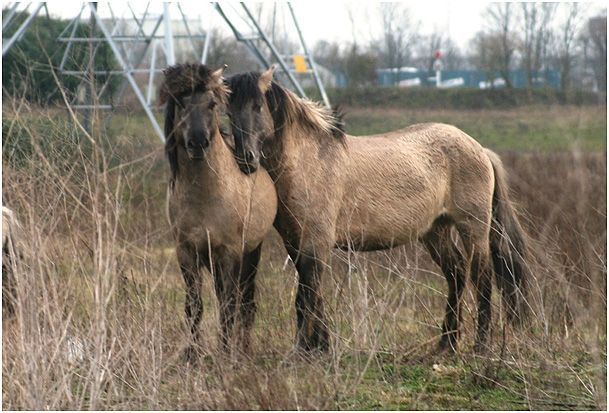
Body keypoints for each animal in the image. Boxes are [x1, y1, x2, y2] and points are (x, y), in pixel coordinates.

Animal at [160, 62, 276, 360]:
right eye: (180, 102)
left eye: (212, 104)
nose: (198, 142)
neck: (206, 196)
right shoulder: (187, 253)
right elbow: (194, 306)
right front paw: (192, 353)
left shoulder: (230, 253)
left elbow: (228, 306)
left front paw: (225, 353)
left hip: (250, 254)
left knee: (244, 302)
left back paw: (242, 348)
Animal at [223, 68, 528, 354]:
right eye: (228, 111)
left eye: (258, 106)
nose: (246, 159)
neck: (310, 162)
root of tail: (480, 150)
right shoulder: (295, 242)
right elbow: (312, 294)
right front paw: (319, 346)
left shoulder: (315, 242)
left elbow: (305, 296)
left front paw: (305, 350)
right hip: (436, 230)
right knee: (456, 274)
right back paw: (446, 344)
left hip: (472, 228)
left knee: (483, 279)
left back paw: (480, 346)